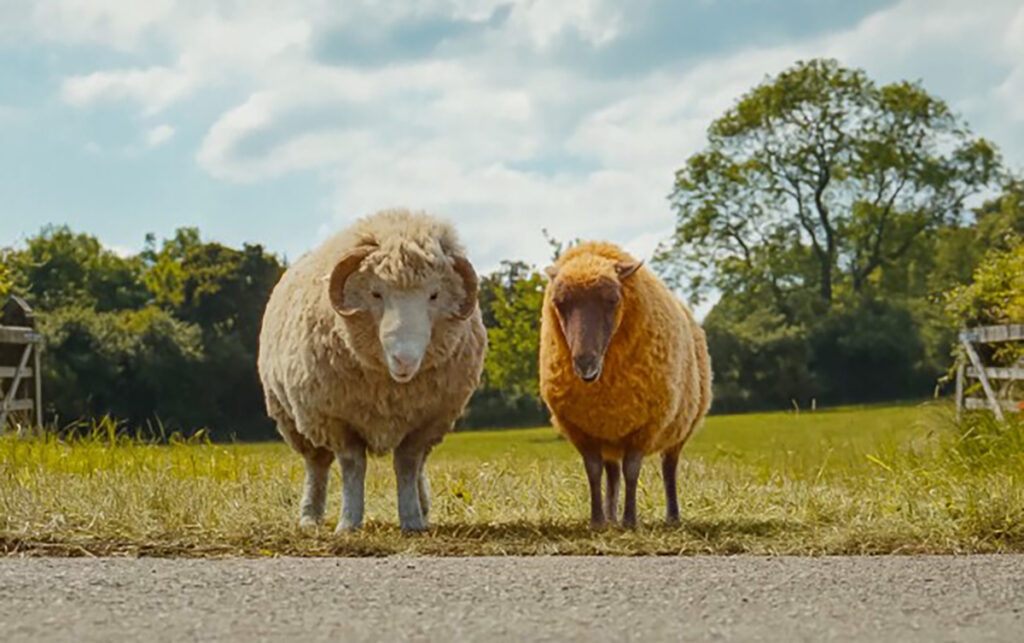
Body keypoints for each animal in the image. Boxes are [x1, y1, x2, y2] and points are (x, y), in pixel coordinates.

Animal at [257, 208, 487, 532]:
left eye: (434, 295)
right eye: (376, 293)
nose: (404, 360)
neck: (390, 387)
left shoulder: (427, 421)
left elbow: (407, 464)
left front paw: (412, 520)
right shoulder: (337, 420)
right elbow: (353, 466)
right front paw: (349, 522)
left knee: (418, 466)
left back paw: (423, 507)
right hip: (295, 419)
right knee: (317, 465)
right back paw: (310, 516)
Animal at [539, 241, 711, 528]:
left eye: (612, 300)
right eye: (559, 303)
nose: (585, 363)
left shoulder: (645, 426)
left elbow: (632, 470)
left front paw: (630, 520)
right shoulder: (582, 430)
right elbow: (594, 471)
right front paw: (597, 520)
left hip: (680, 428)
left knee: (669, 468)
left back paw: (672, 517)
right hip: (611, 432)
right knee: (612, 472)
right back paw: (611, 517)